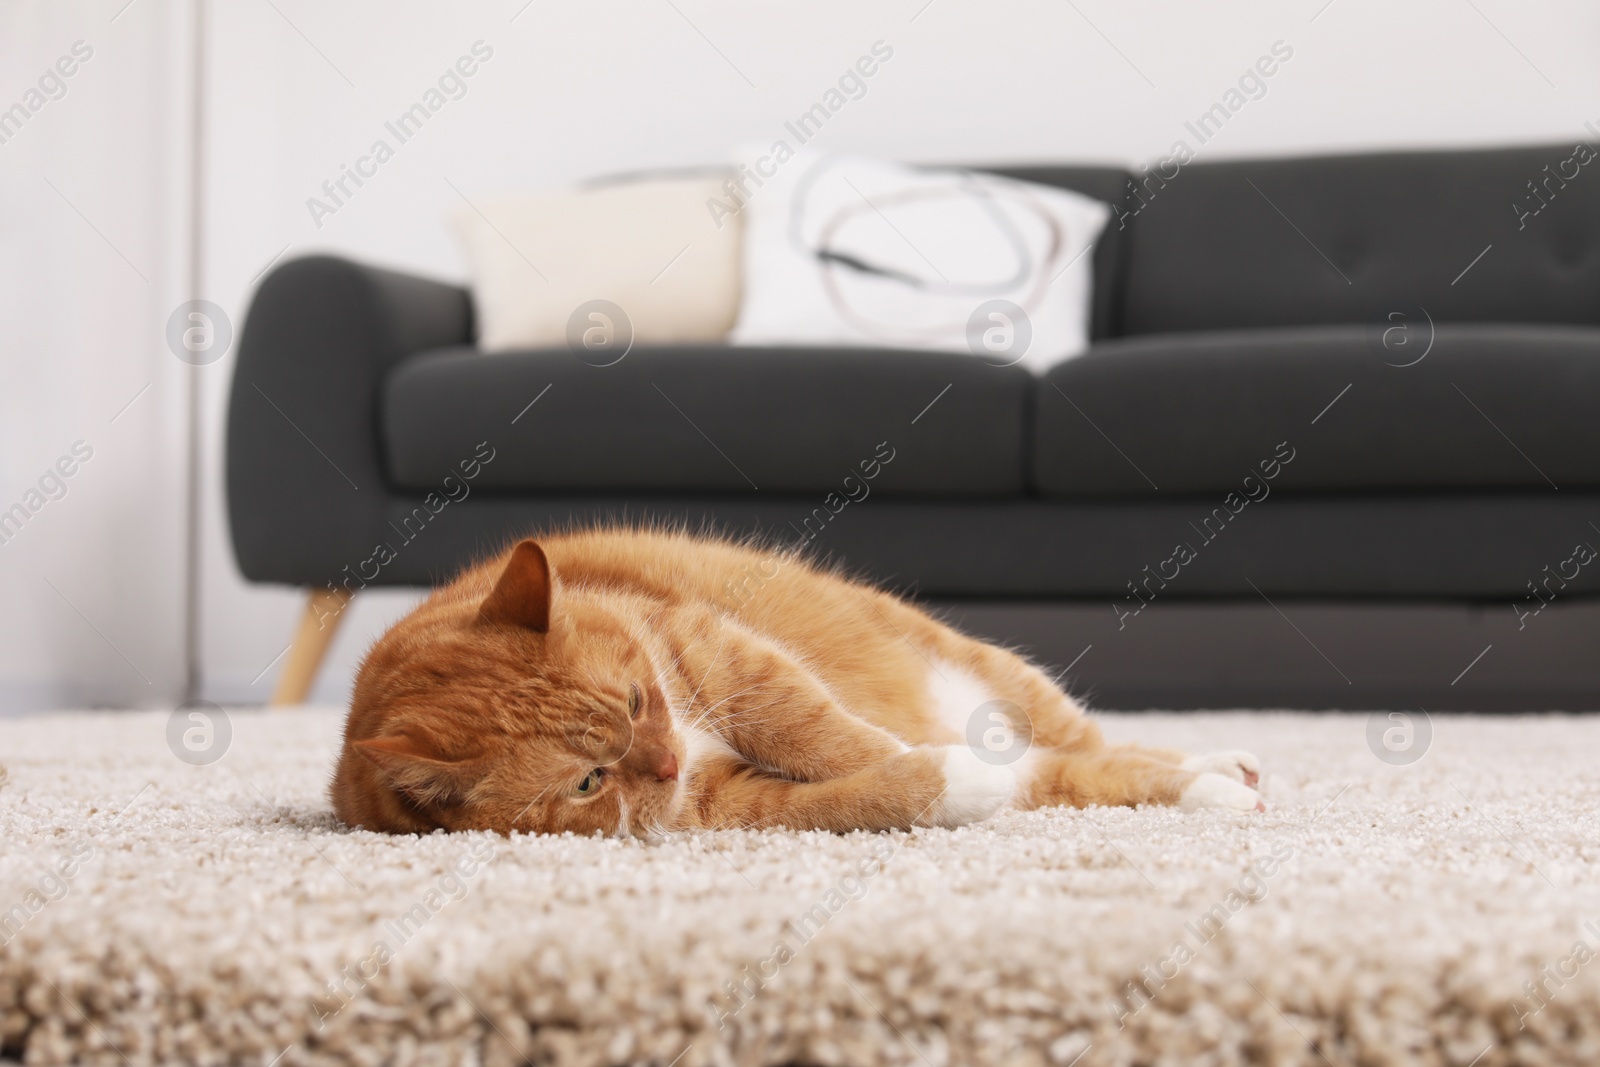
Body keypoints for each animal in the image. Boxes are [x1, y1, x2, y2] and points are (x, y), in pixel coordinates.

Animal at [337, 531, 1260, 838]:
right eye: (589, 782)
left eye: (636, 699)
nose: (664, 763)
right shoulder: (725, 801)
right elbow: (850, 795)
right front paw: (940, 777)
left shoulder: (718, 649)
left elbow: (818, 730)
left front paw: (896, 748)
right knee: (1082, 770)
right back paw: (1220, 787)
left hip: (1004, 675)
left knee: (1098, 743)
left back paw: (1223, 766)